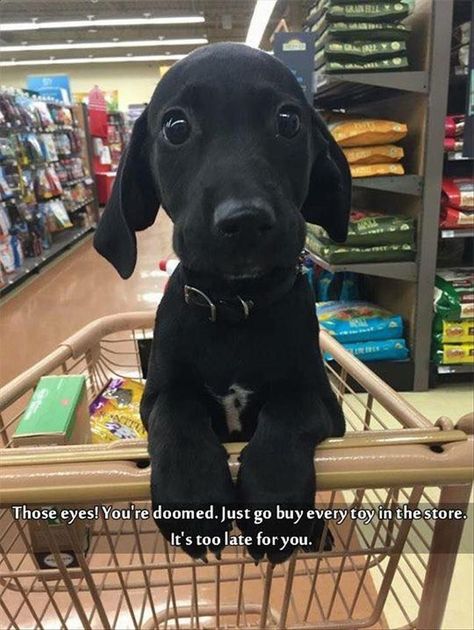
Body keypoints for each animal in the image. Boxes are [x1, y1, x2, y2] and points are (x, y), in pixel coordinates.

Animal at [94, 42, 350, 564]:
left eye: (289, 121)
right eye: (175, 127)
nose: (245, 220)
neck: (235, 309)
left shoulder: (326, 405)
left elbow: (290, 409)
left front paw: (273, 500)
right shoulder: (156, 396)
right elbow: (178, 413)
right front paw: (191, 493)